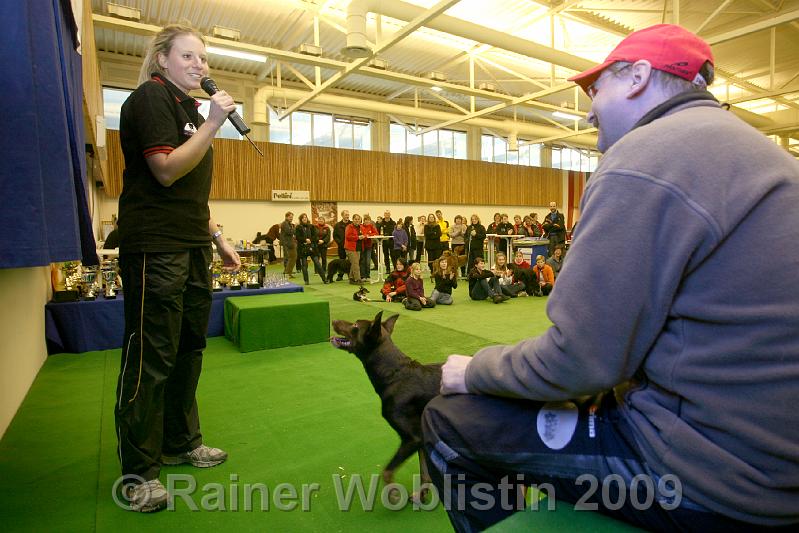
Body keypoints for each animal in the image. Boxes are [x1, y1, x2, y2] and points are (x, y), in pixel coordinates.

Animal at [331, 311, 442, 501]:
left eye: (355, 325)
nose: (334, 320)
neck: (394, 374)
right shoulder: (421, 436)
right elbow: (424, 472)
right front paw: (421, 495)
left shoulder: (412, 438)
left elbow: (386, 472)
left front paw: (394, 494)